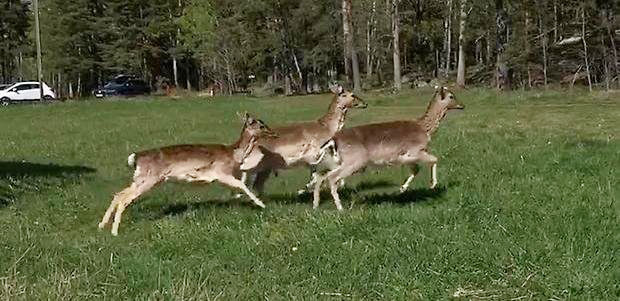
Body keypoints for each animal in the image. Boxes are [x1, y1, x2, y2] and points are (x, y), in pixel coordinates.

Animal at [97, 112, 276, 234]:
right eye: (261, 125)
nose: (273, 132)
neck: (234, 154)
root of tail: (136, 157)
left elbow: (239, 187)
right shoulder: (221, 173)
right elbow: (242, 185)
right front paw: (261, 204)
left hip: (140, 179)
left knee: (118, 194)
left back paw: (102, 225)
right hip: (149, 179)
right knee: (124, 199)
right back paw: (114, 231)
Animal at [312, 85, 462, 210]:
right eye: (451, 96)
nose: (462, 105)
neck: (425, 130)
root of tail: (334, 139)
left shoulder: (407, 157)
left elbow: (416, 170)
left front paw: (402, 189)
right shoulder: (415, 150)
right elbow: (435, 159)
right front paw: (433, 185)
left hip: (338, 160)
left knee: (321, 175)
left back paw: (316, 205)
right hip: (356, 160)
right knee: (332, 178)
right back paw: (340, 208)